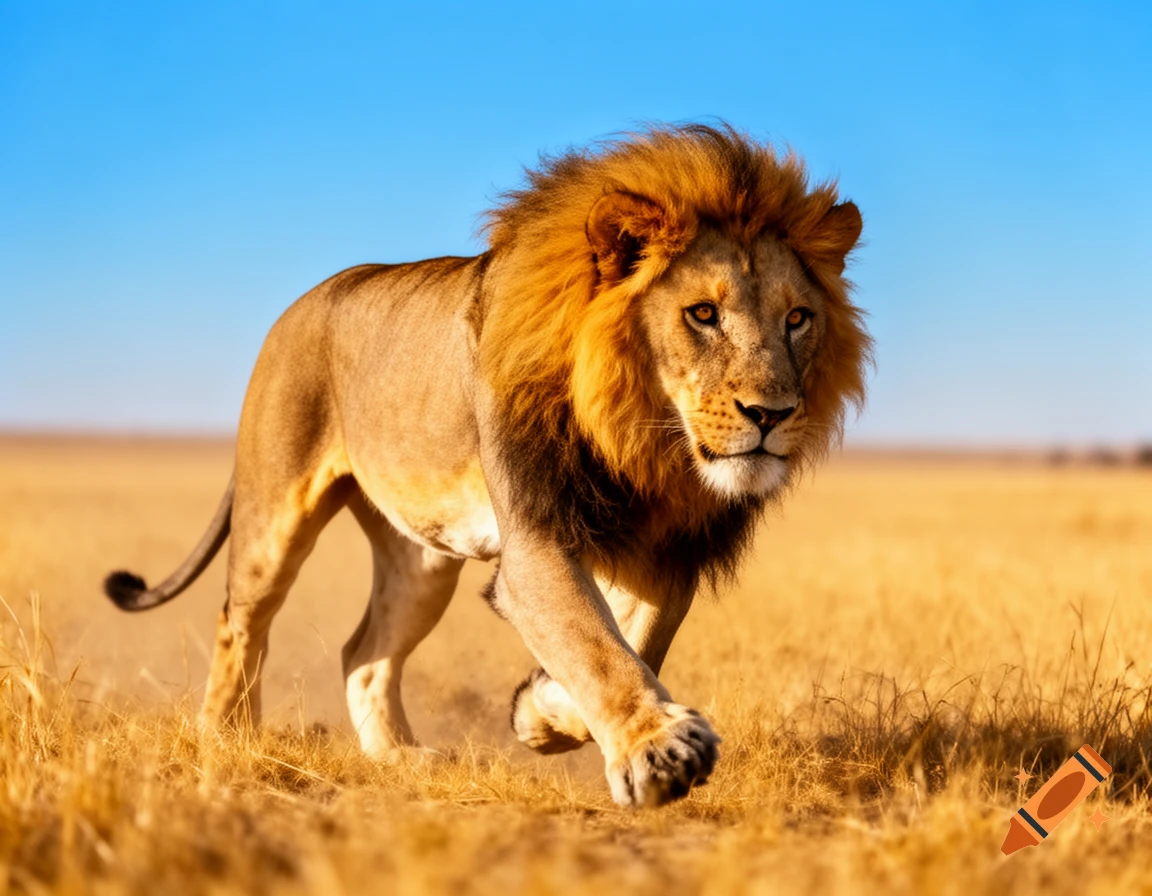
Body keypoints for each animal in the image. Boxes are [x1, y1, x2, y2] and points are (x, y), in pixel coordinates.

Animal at [104, 124, 871, 808]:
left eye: (797, 319)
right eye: (703, 314)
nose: (771, 414)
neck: (646, 441)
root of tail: (301, 303)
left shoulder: (666, 553)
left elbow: (630, 643)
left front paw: (541, 711)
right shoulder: (535, 539)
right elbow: (594, 645)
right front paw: (657, 748)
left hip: (421, 561)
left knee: (363, 653)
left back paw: (399, 758)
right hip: (273, 517)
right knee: (240, 622)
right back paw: (226, 741)